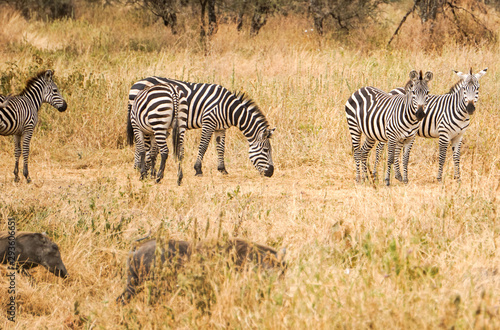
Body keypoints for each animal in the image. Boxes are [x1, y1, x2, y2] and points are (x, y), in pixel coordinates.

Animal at [127, 77, 276, 178]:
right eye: (266, 150)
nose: (271, 173)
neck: (228, 109)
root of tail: (136, 82)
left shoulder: (220, 128)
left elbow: (221, 148)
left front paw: (222, 169)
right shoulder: (208, 122)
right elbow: (203, 146)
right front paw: (198, 169)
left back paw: (140, 167)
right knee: (141, 144)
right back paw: (139, 168)